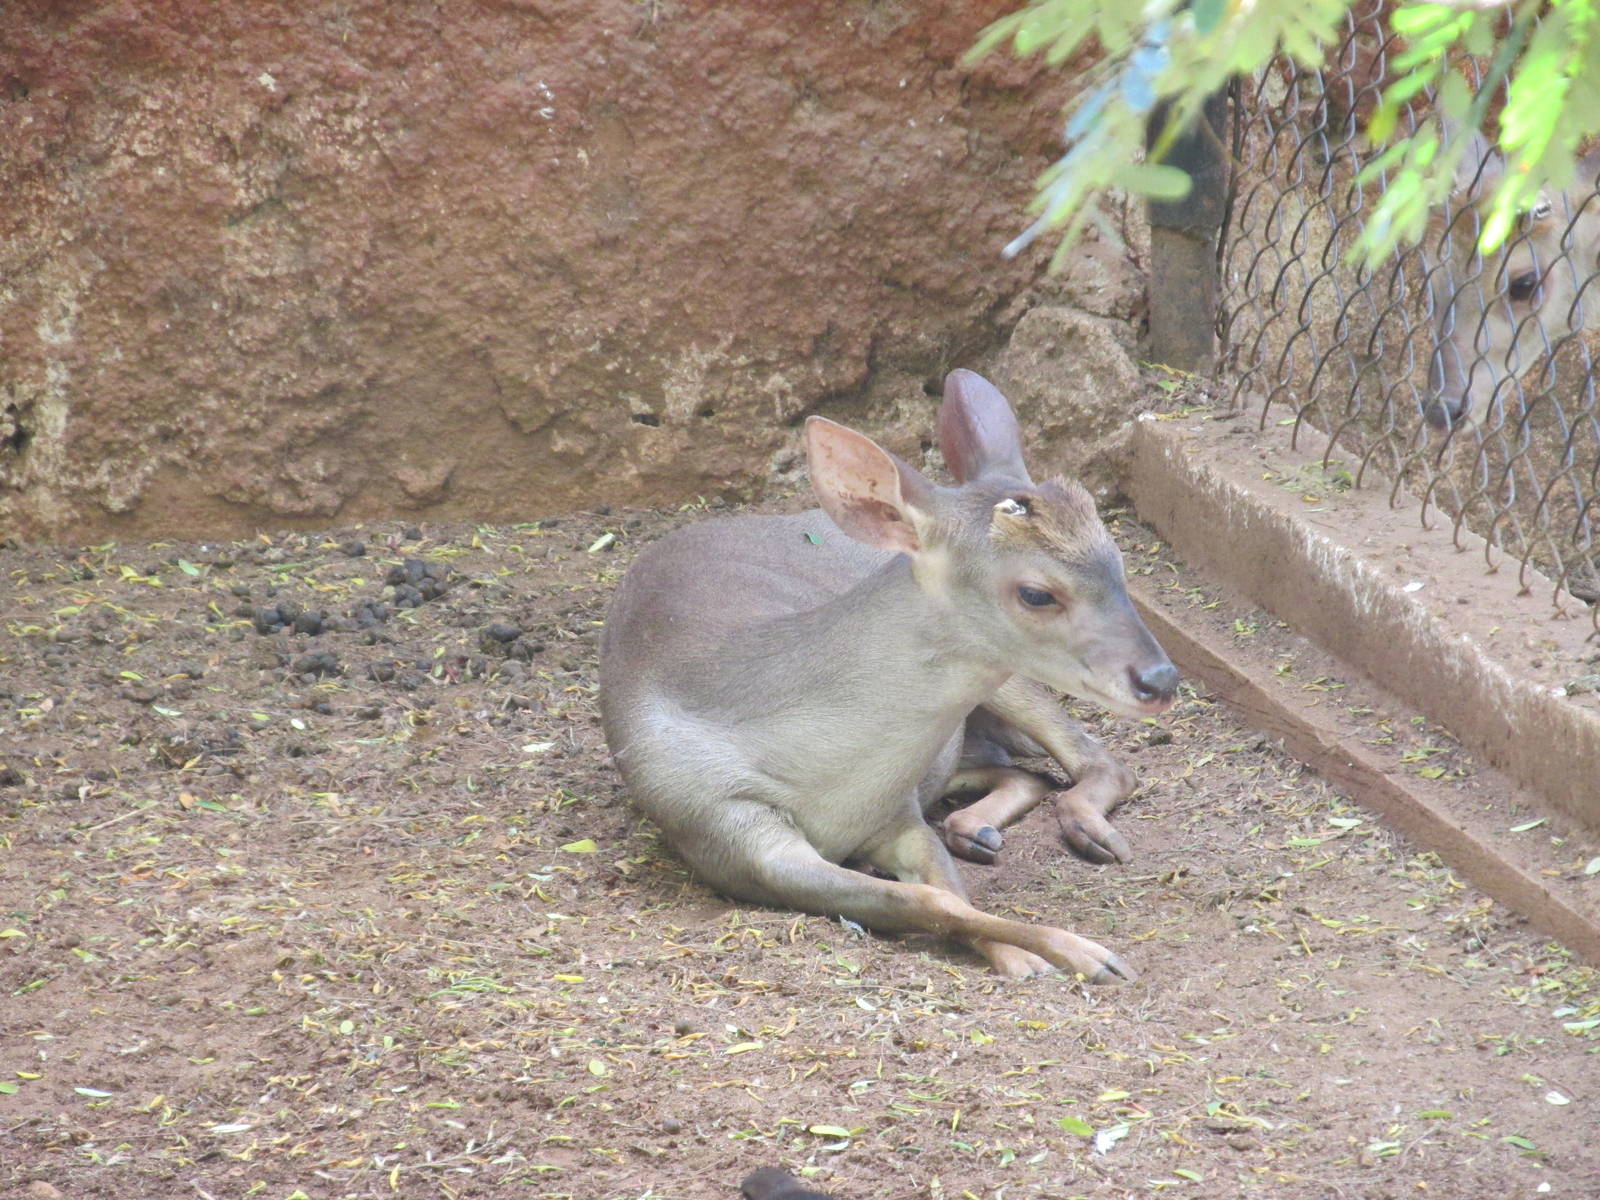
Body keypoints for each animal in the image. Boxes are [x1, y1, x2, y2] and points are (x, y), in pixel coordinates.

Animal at [598, 370, 1178, 981]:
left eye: (1119, 563)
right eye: (1037, 593)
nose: (1160, 679)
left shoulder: (896, 812)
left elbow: (948, 889)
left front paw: (1049, 953)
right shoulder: (730, 834)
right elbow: (932, 901)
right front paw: (1069, 954)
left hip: (1009, 682)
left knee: (1092, 759)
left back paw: (1077, 829)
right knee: (1023, 770)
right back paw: (977, 828)